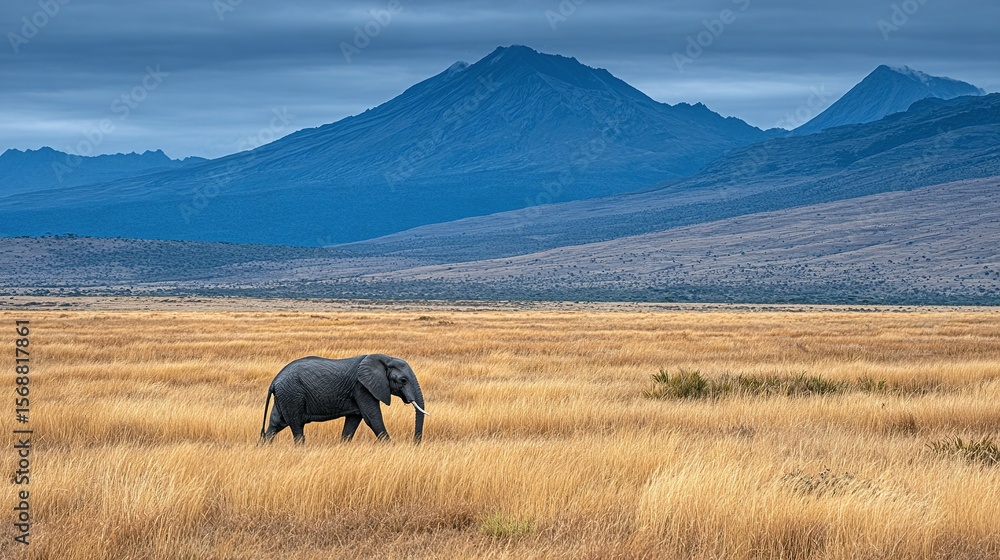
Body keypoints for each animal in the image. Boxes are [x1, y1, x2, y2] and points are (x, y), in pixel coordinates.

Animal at [259, 354, 427, 444]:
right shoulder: (362, 387)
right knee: (296, 425)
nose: (415, 443)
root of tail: (274, 381)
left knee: (276, 423)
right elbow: (372, 418)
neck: (383, 358)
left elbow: (354, 419)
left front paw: (343, 445)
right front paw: (391, 446)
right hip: (292, 395)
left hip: (285, 396)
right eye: (403, 380)